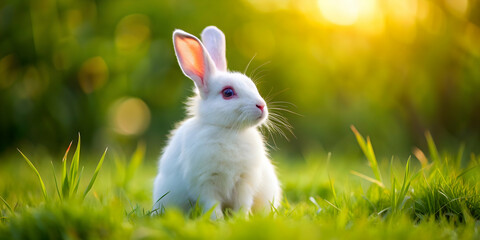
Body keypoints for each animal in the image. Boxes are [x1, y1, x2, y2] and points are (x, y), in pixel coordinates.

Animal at [153, 25, 282, 218]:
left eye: (252, 85)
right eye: (228, 93)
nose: (261, 106)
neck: (229, 131)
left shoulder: (244, 182)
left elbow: (242, 204)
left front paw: (241, 219)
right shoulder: (205, 182)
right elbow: (212, 205)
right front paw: (218, 221)